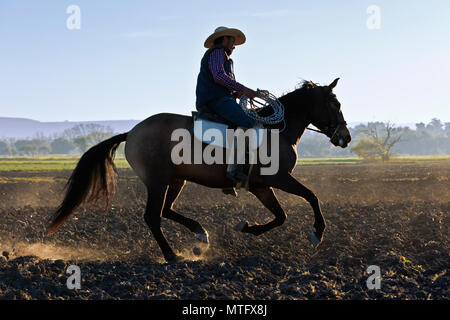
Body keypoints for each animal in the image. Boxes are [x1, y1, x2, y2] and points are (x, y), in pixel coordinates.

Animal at [44, 78, 352, 262]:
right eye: (335, 103)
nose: (345, 137)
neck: (276, 131)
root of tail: (131, 132)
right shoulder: (279, 178)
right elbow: (311, 197)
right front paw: (317, 234)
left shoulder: (261, 186)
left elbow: (281, 216)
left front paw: (248, 228)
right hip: (158, 182)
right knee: (152, 216)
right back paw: (172, 256)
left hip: (176, 180)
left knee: (166, 211)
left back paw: (199, 235)